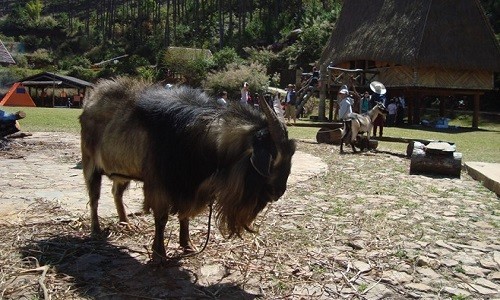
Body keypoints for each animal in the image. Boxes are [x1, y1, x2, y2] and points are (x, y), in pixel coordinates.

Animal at [79, 77, 294, 260]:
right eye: (273, 158)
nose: (278, 192)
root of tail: (91, 101)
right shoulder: (160, 184)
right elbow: (162, 218)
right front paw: (159, 254)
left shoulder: (189, 186)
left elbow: (185, 216)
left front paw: (187, 245)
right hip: (90, 165)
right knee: (94, 198)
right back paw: (96, 230)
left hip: (122, 173)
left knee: (117, 193)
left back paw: (125, 223)